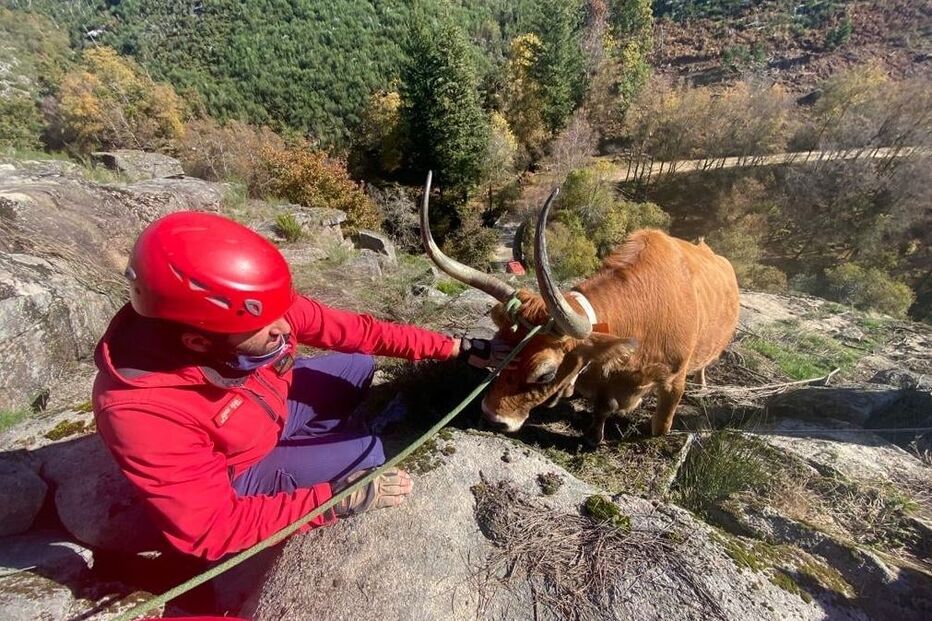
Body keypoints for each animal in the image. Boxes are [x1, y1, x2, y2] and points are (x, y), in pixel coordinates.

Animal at [420, 172, 740, 444]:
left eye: (545, 374)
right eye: (500, 352)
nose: (491, 416)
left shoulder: (673, 383)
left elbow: (660, 426)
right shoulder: (603, 379)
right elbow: (602, 407)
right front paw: (593, 437)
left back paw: (703, 385)